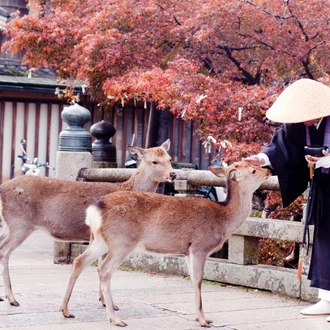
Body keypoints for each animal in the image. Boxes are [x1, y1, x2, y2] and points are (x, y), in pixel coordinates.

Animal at [0, 139, 177, 306]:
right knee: (4, 252)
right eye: (154, 161)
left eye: (169, 159)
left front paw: (102, 300)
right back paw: (12, 298)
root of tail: (2, 188)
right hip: (19, 223)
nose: (173, 174)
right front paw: (108, 303)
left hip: (7, 225)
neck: (128, 187)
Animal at [60, 161, 270, 326]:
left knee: (79, 261)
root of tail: (94, 210)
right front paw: (203, 320)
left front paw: (202, 317)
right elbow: (198, 280)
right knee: (103, 269)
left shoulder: (187, 251)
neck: (224, 219)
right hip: (122, 241)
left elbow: (193, 280)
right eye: (253, 170)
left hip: (101, 240)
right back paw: (115, 319)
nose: (268, 170)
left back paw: (65, 310)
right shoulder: (199, 246)